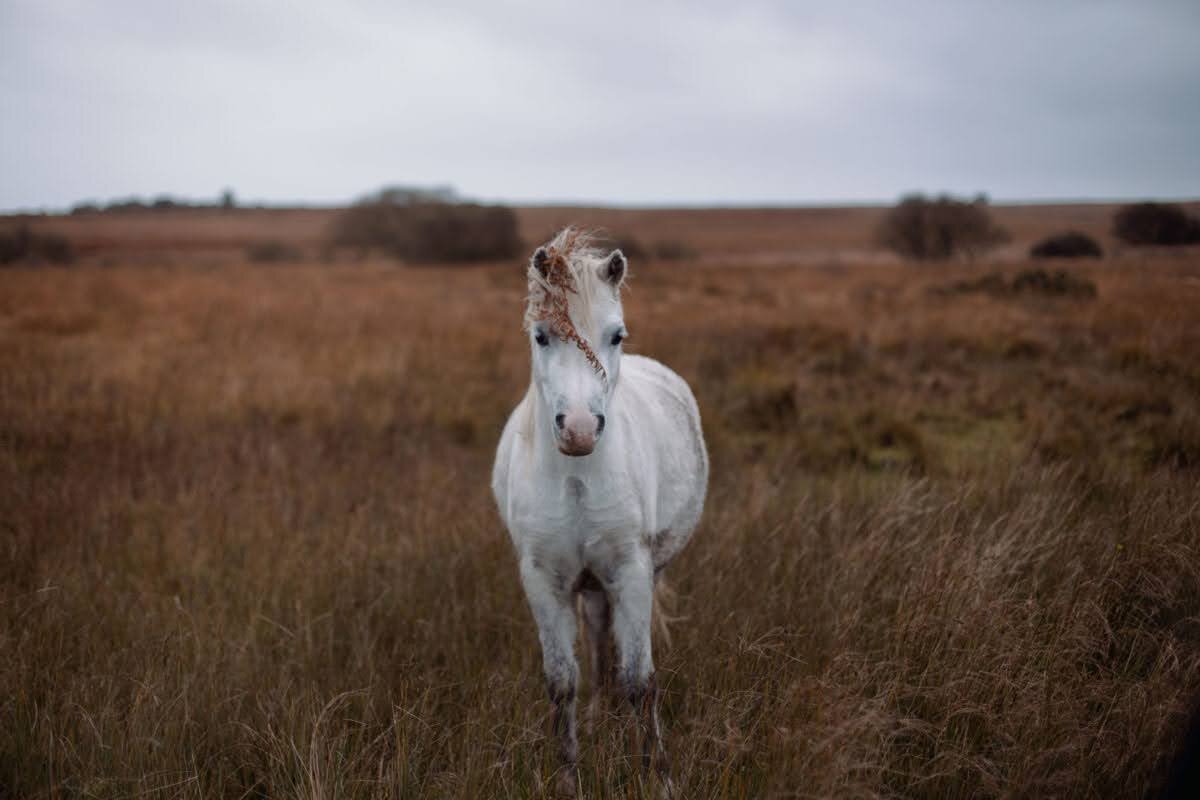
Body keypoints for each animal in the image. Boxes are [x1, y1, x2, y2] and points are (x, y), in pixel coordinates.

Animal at [492, 226, 705, 796]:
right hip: (587, 586)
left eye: (616, 336)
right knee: (596, 643)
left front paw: (660, 777)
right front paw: (570, 779)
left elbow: (640, 680)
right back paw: (600, 718)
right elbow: (562, 682)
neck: (576, 480)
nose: (581, 430)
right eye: (542, 336)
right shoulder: (543, 580)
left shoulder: (631, 571)